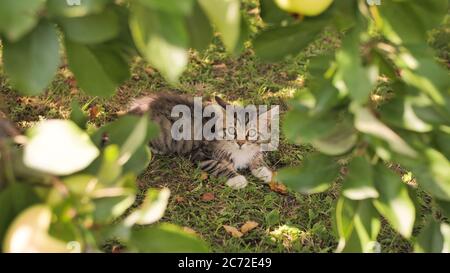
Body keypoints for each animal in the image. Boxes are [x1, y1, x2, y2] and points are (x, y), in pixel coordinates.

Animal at [128, 92, 276, 188]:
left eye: (250, 133)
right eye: (232, 131)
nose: (240, 143)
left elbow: (257, 157)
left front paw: (263, 171)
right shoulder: (200, 154)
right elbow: (218, 166)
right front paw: (236, 179)